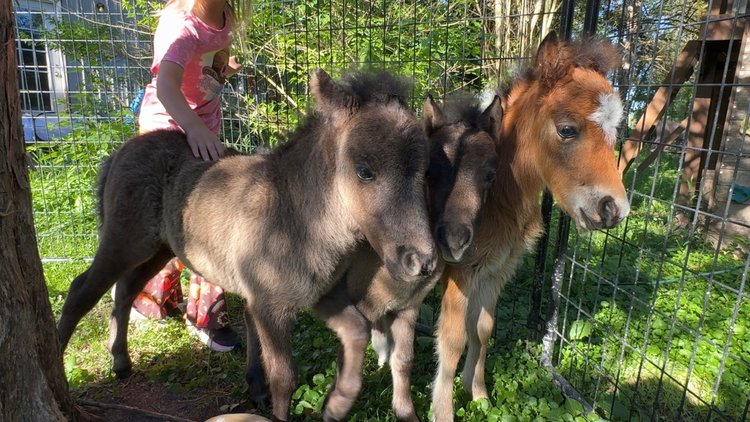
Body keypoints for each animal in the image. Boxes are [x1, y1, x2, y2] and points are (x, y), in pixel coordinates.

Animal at [56, 69, 438, 422]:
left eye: (424, 172)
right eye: (364, 171)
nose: (420, 261)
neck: (298, 217)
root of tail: (120, 151)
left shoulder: (322, 295)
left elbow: (357, 331)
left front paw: (337, 403)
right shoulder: (271, 306)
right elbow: (284, 376)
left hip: (160, 248)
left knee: (125, 289)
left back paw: (120, 362)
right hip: (125, 241)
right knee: (82, 289)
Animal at [299, 94, 502, 421]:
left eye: (490, 175)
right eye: (430, 172)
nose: (453, 241)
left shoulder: (409, 307)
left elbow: (404, 359)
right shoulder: (355, 308)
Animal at [431, 32, 631, 421]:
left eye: (615, 132)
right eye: (567, 129)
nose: (613, 210)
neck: (500, 201)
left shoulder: (495, 271)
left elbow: (482, 330)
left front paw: (479, 395)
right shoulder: (460, 272)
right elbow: (452, 340)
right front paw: (442, 410)